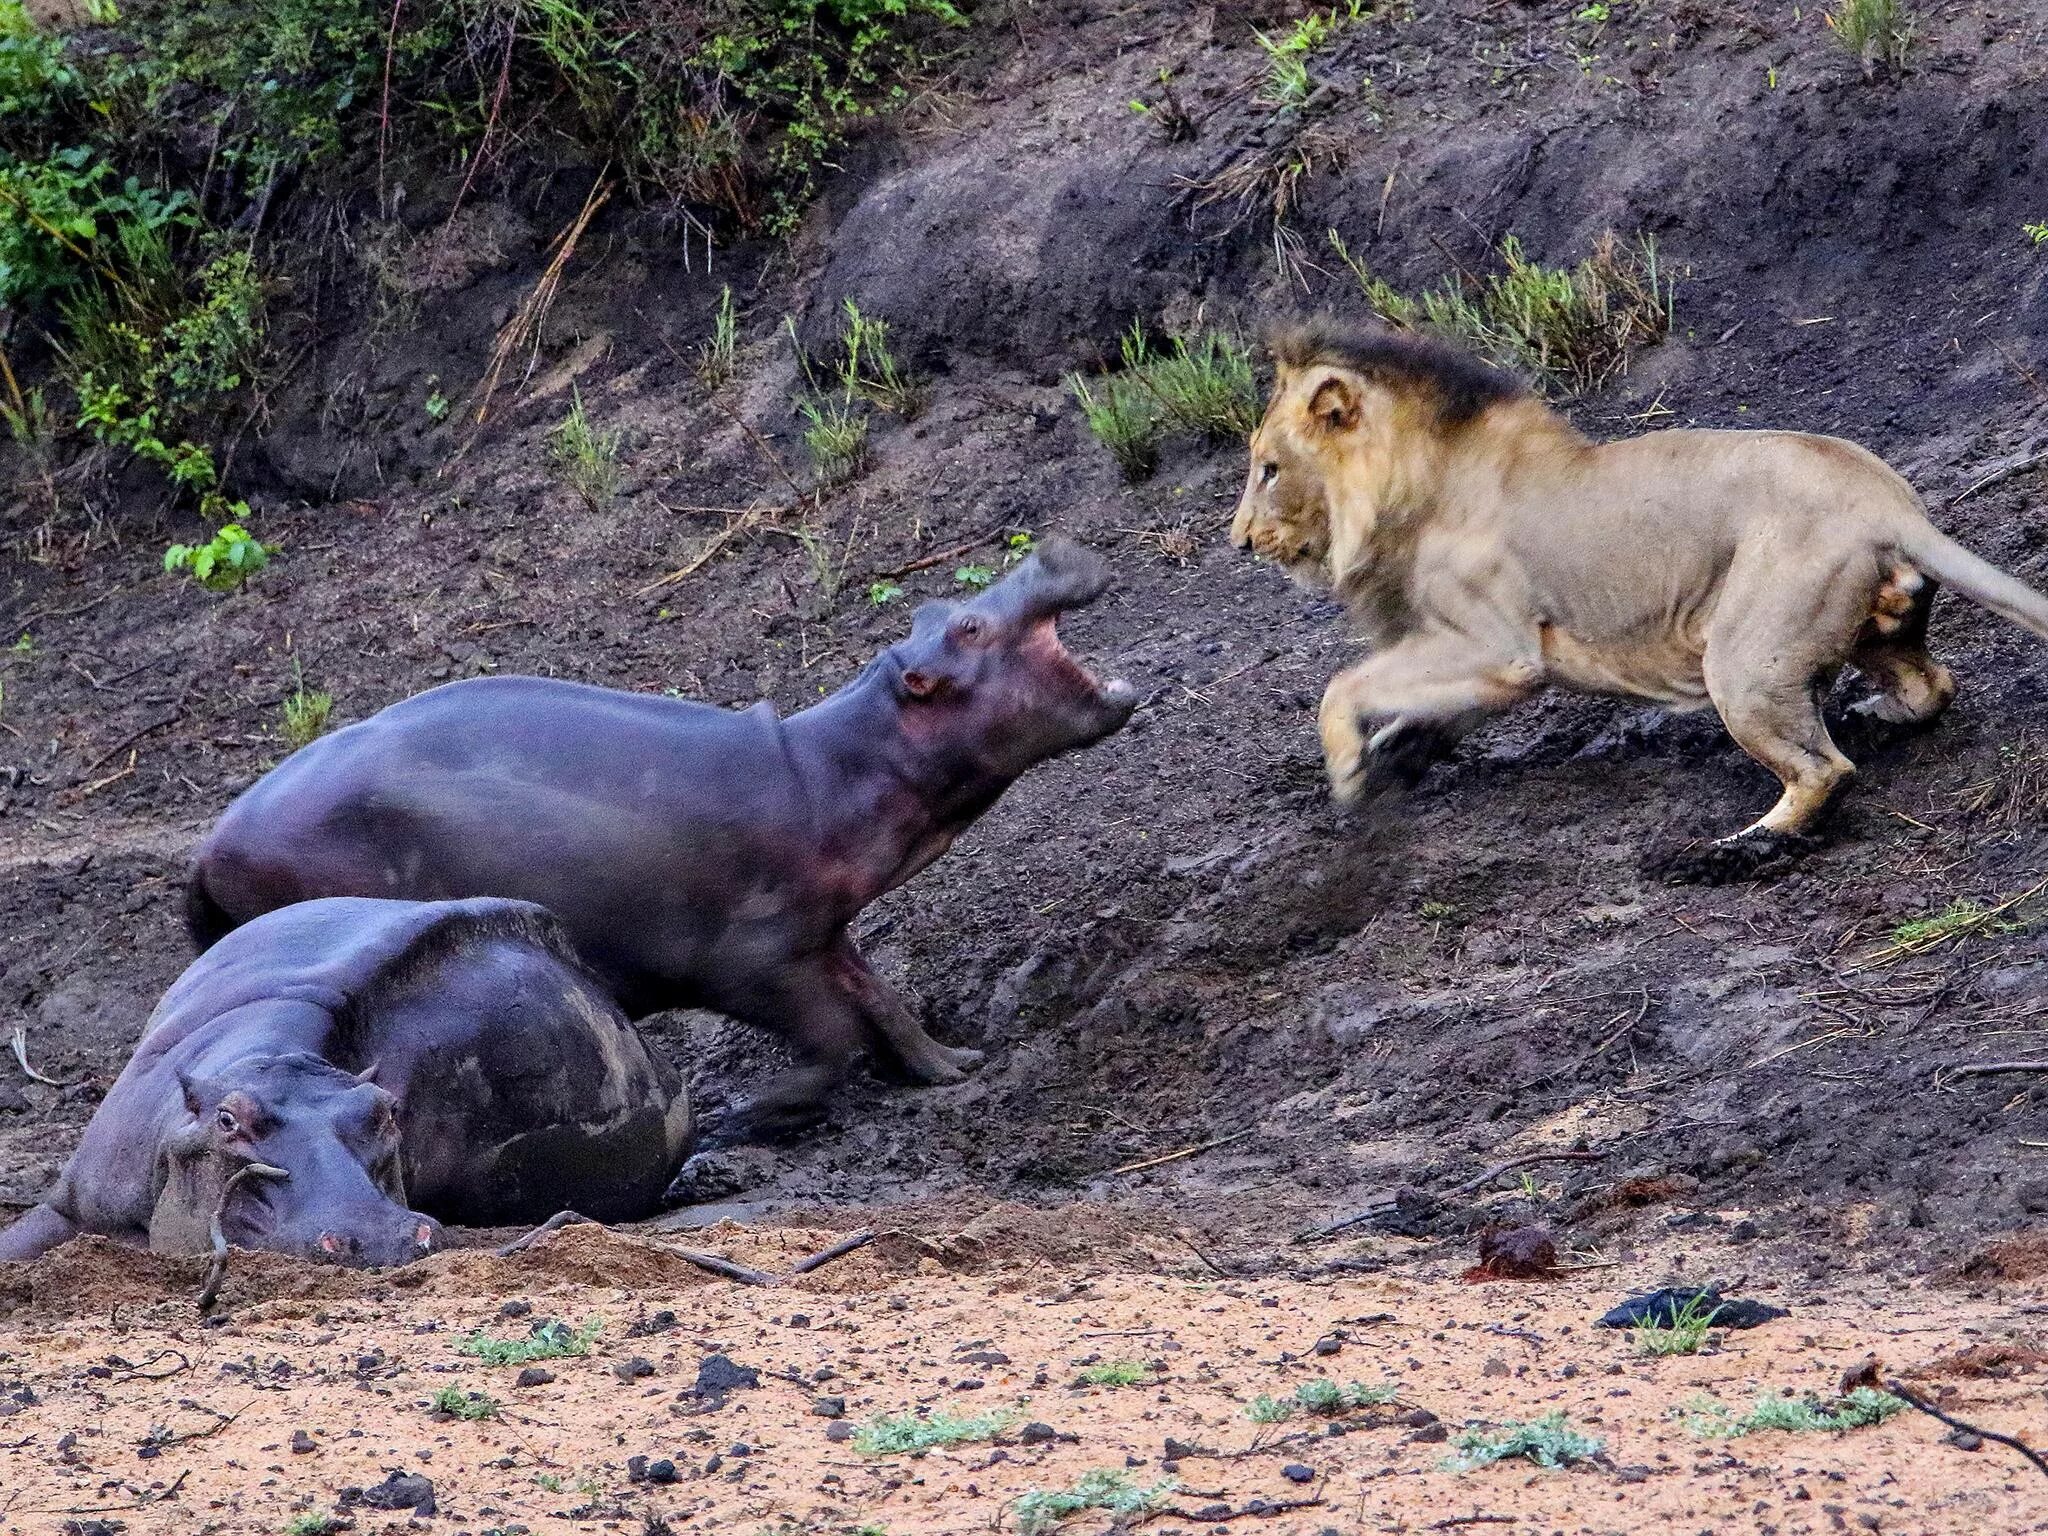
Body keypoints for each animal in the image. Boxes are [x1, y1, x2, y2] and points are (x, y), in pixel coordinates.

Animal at [184, 536, 1138, 1130]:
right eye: (969, 625)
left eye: (945, 606)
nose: (1047, 551)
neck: (835, 765)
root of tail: (207, 845)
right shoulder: (751, 955)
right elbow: (834, 1037)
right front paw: (750, 1114)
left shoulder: (822, 931)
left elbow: (881, 999)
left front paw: (953, 1063)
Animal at [1228, 319, 2048, 872]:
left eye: (1268, 469)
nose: (1239, 541)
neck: (1409, 492)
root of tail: (1889, 504)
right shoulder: (1472, 657)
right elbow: (1416, 707)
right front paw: (1396, 754)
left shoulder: (1499, 648)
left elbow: (1343, 686)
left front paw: (1347, 775)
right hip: (1873, 628)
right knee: (1932, 686)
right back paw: (1874, 716)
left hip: (1743, 660)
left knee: (1825, 772)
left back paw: (1727, 852)